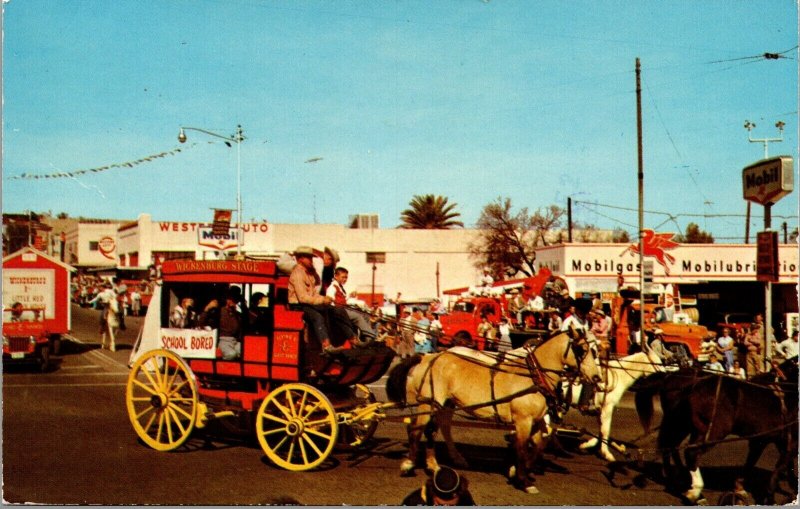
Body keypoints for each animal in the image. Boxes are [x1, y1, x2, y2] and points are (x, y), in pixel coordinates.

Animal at [386, 330, 600, 492]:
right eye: (582, 349)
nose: (597, 377)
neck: (533, 376)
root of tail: (430, 357)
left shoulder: (536, 419)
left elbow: (538, 445)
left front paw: (519, 470)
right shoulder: (523, 420)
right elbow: (522, 448)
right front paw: (523, 480)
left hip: (444, 405)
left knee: (433, 429)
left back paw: (437, 465)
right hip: (428, 403)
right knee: (415, 429)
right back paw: (409, 464)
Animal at [636, 360, 796, 502]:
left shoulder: (763, 440)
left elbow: (757, 463)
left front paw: (740, 487)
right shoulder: (787, 442)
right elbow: (780, 468)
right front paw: (771, 497)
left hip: (685, 426)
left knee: (671, 446)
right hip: (711, 431)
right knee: (689, 452)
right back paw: (695, 492)